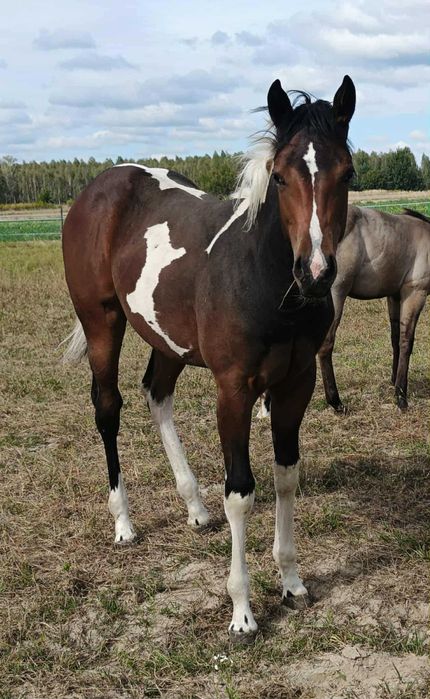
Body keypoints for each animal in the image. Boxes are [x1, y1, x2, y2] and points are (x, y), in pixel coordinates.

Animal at [62, 75, 356, 643]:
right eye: (280, 176)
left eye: (348, 173)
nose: (315, 273)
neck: (267, 284)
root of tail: (99, 187)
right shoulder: (234, 389)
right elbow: (240, 491)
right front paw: (242, 611)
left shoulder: (296, 384)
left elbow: (286, 477)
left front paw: (292, 582)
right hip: (101, 322)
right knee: (108, 408)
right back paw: (124, 522)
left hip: (166, 339)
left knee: (157, 394)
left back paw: (194, 505)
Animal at [319, 206, 430, 412]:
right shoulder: (415, 292)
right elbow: (406, 342)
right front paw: (401, 396)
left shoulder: (394, 295)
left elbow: (395, 338)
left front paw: (394, 380)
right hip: (336, 294)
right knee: (326, 344)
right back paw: (335, 401)